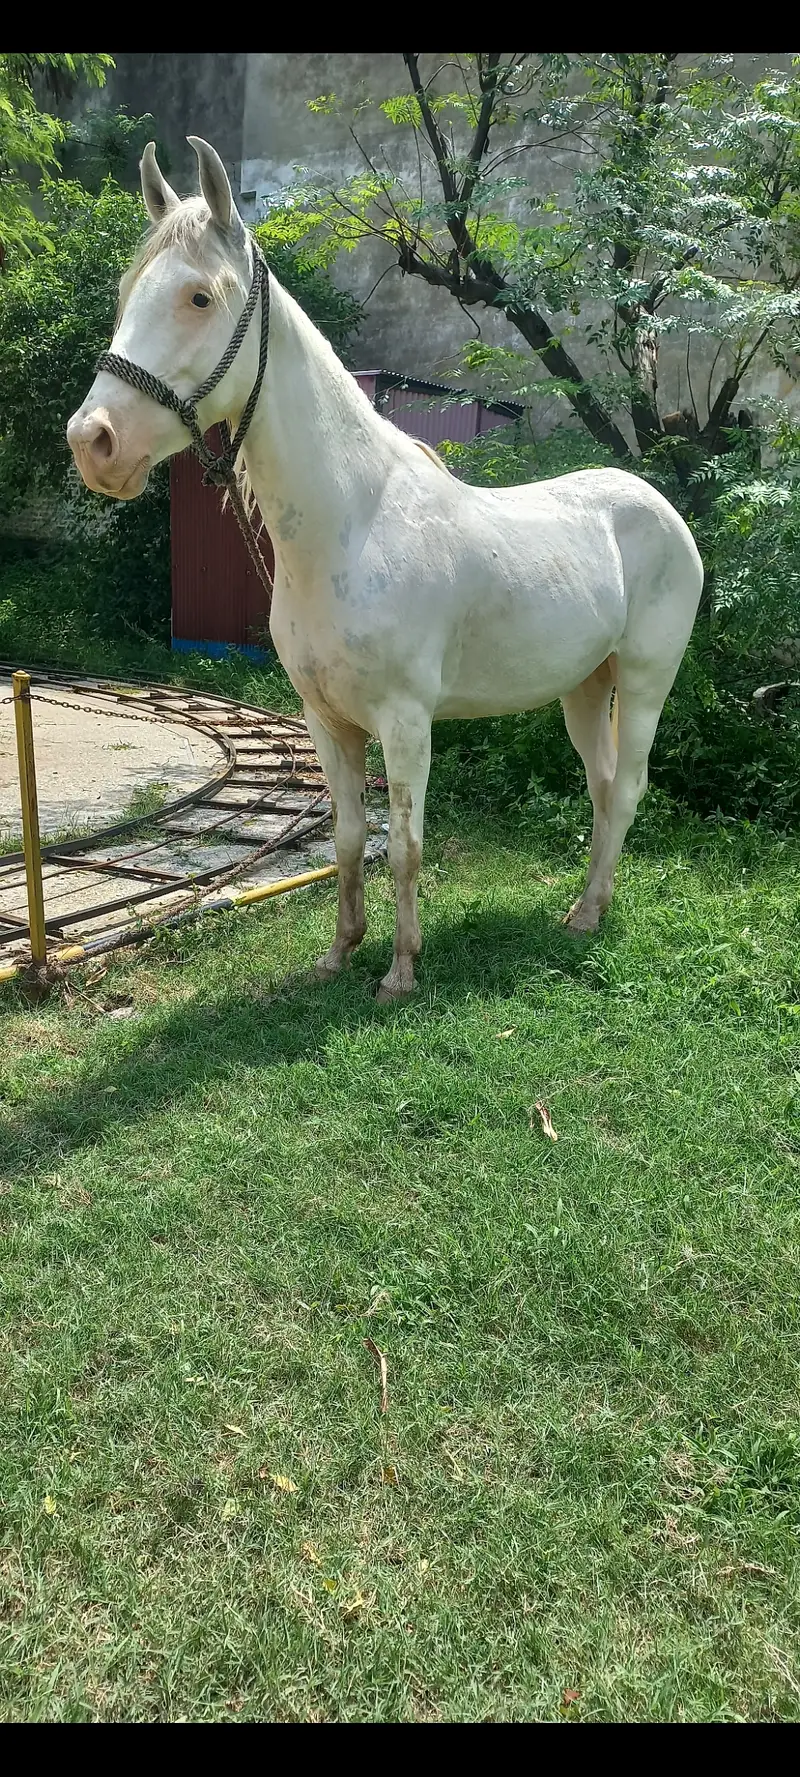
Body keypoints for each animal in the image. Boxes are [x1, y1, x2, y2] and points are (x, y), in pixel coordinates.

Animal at [67, 136, 704, 1002]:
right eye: (129, 292)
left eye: (199, 297)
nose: (93, 442)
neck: (351, 523)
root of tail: (661, 508)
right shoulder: (324, 722)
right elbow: (345, 838)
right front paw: (340, 954)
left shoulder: (406, 723)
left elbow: (404, 845)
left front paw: (401, 971)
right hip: (584, 686)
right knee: (604, 789)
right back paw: (585, 906)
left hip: (642, 681)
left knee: (629, 786)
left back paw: (586, 915)